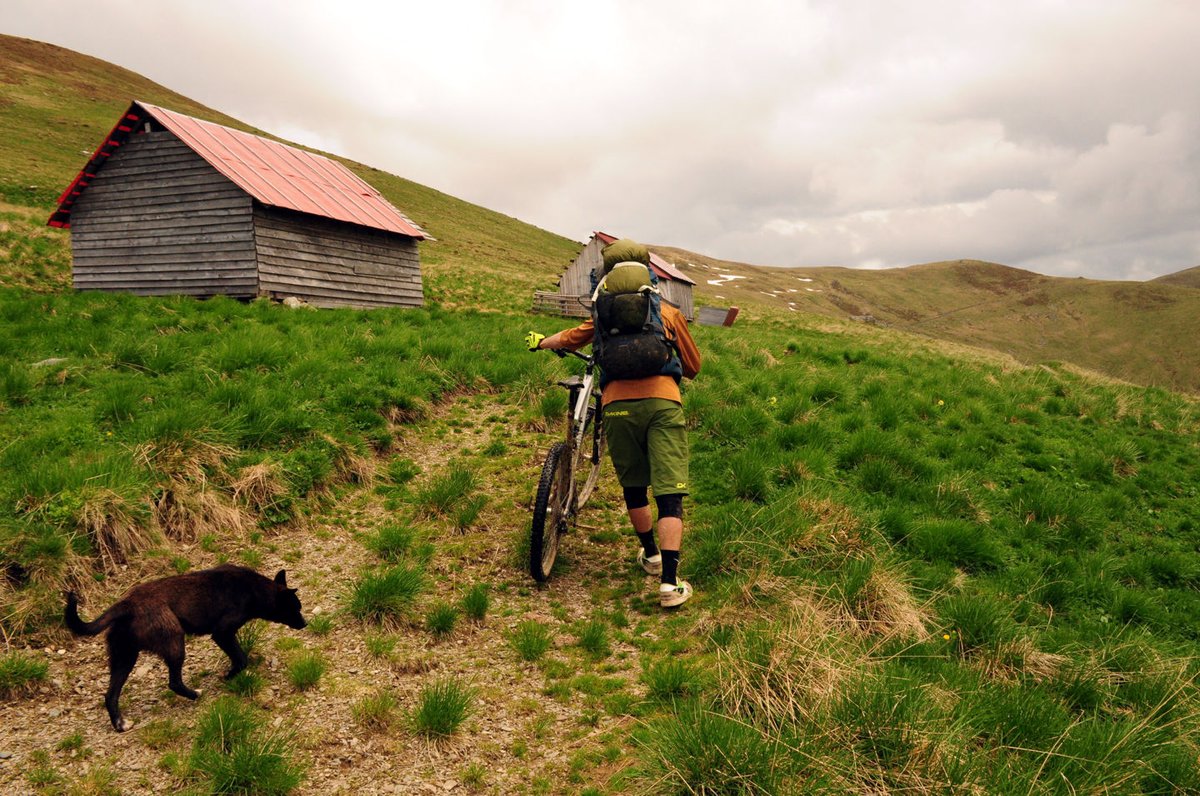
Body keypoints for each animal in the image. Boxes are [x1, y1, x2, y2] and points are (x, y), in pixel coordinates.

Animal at [63, 564, 309, 729]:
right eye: (296, 608)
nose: (305, 623)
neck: (254, 589)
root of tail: (126, 604)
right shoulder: (222, 633)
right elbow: (241, 659)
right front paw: (229, 676)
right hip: (174, 643)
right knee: (174, 682)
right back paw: (195, 695)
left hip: (124, 657)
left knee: (110, 695)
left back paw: (120, 724)